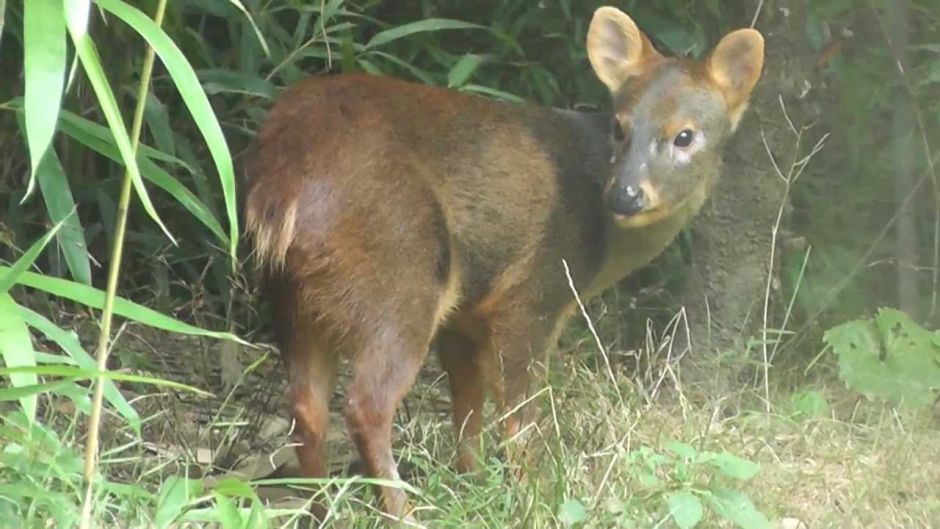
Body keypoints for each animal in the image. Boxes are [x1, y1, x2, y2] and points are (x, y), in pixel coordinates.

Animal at [242, 6, 764, 520]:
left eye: (685, 136)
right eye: (619, 126)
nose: (625, 194)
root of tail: (282, 178)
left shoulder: (466, 312)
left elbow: (468, 408)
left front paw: (473, 485)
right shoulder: (532, 293)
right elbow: (519, 416)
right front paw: (531, 498)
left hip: (294, 295)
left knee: (306, 408)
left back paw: (321, 509)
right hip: (400, 275)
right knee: (366, 404)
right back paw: (402, 513)